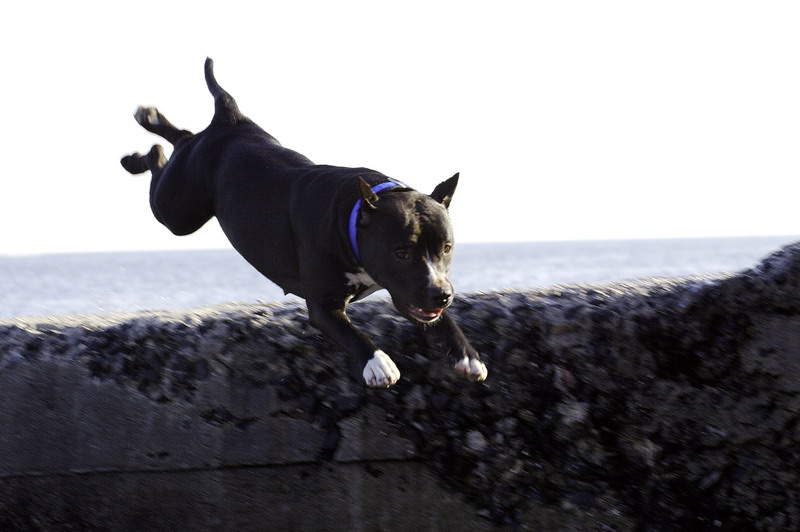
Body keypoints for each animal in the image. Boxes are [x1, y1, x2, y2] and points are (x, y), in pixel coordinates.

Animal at [121, 60, 484, 388]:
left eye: (446, 248)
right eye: (401, 252)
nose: (443, 294)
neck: (354, 216)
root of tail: (230, 119)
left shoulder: (409, 292)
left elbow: (441, 321)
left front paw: (467, 355)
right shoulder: (325, 305)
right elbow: (350, 333)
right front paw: (377, 362)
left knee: (181, 136)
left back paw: (149, 123)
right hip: (178, 210)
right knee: (165, 153)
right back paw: (140, 148)